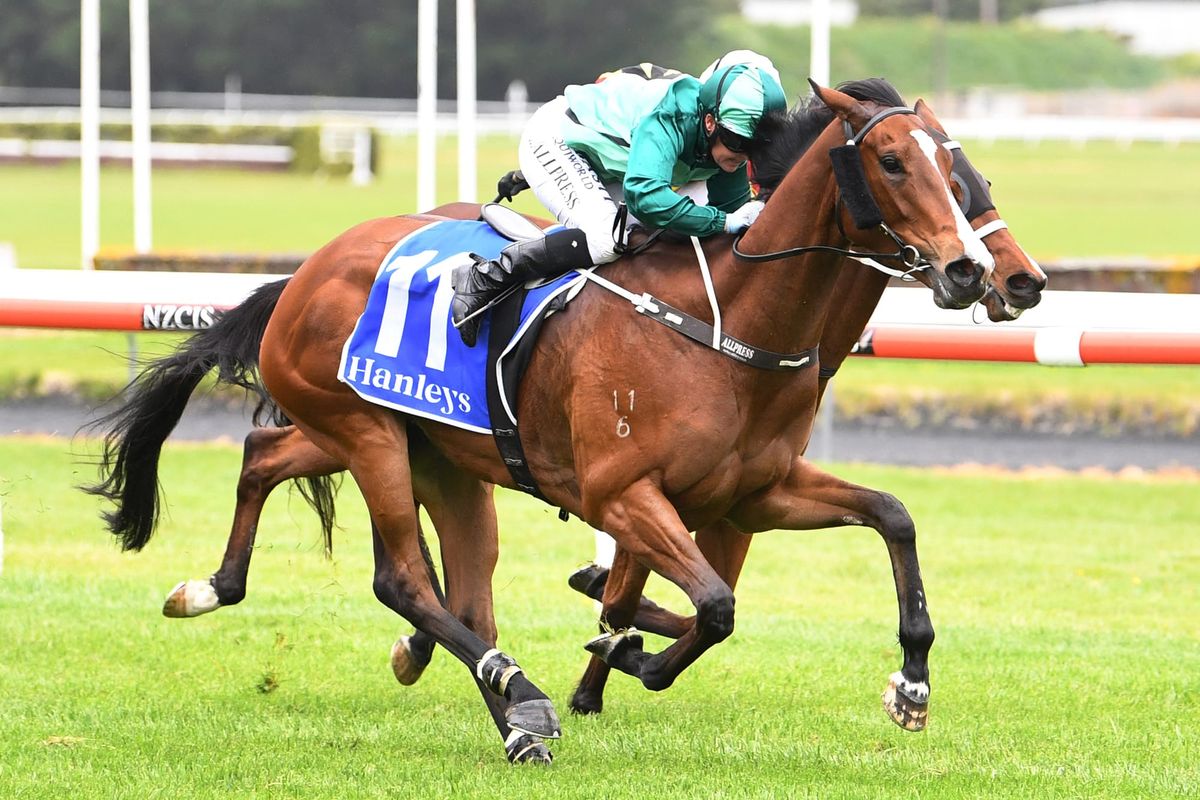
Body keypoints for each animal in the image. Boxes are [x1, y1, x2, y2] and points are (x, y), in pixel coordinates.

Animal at [88, 81, 993, 763]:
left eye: (956, 168)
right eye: (892, 161)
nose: (971, 268)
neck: (730, 324)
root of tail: (307, 270)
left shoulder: (755, 493)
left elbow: (891, 517)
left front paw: (912, 684)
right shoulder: (622, 492)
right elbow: (711, 603)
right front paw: (626, 654)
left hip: (429, 452)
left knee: (300, 475)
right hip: (364, 433)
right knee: (404, 579)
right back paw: (518, 696)